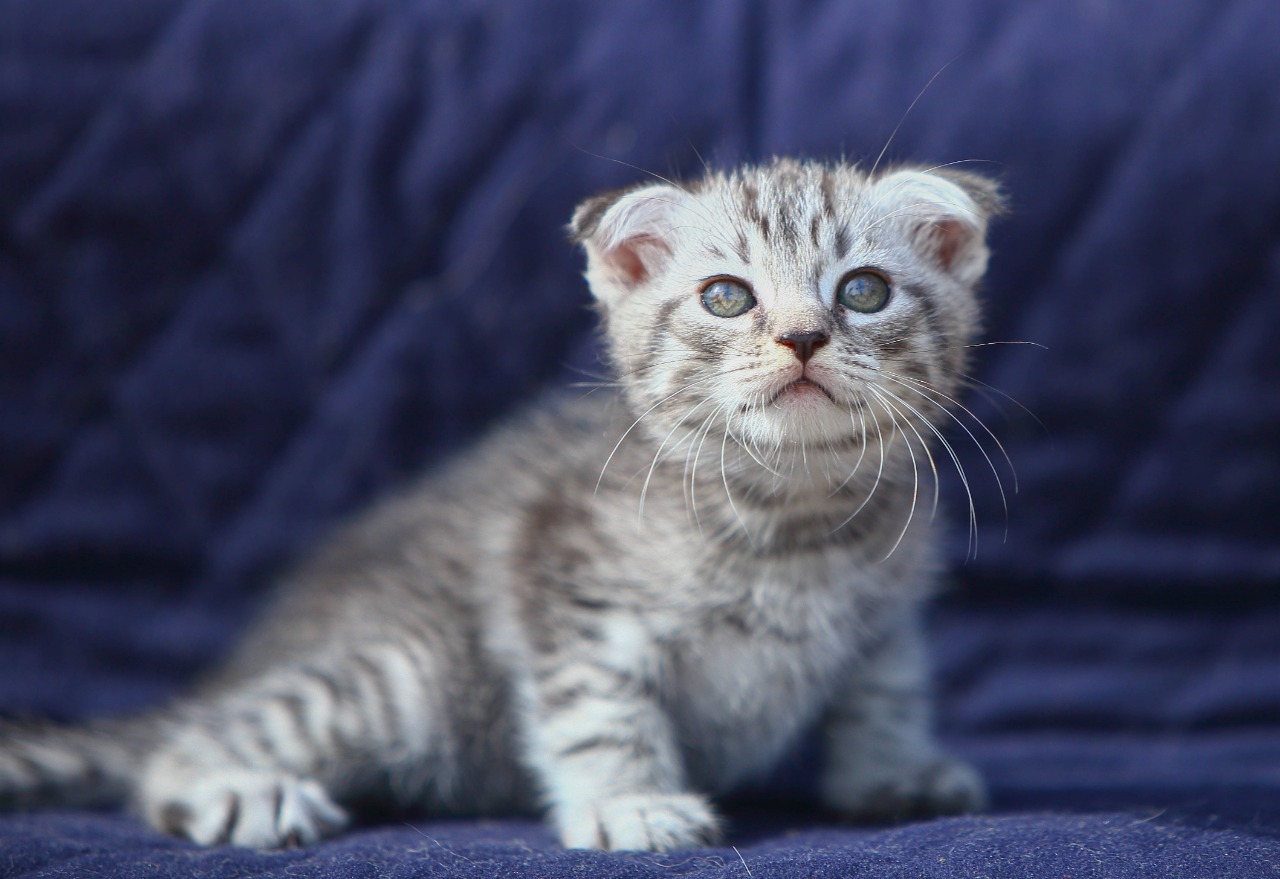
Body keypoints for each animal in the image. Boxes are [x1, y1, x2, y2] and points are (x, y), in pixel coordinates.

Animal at [0, 158, 1003, 854]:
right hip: (406, 678)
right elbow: (601, 705)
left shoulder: (890, 609)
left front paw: (893, 771)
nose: (802, 337)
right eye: (727, 296)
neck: (790, 520)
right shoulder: (561, 570)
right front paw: (631, 799)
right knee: (193, 739)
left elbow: (887, 688)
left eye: (863, 289)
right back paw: (234, 784)